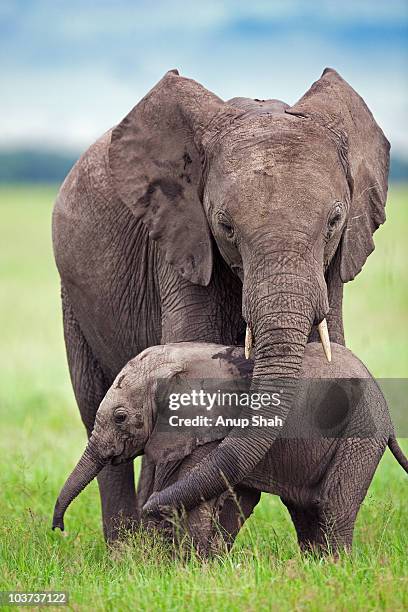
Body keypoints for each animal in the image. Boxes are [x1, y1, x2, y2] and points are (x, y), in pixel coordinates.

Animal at [52, 342, 406, 556]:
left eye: (121, 417)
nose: (59, 530)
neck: (176, 363)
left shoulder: (212, 432)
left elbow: (195, 492)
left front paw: (190, 568)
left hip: (360, 433)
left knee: (333, 504)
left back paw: (335, 567)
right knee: (304, 507)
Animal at [53, 64, 388, 536]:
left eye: (334, 221)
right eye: (225, 226)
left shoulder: (335, 265)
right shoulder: (181, 241)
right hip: (73, 297)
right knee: (92, 404)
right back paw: (124, 545)